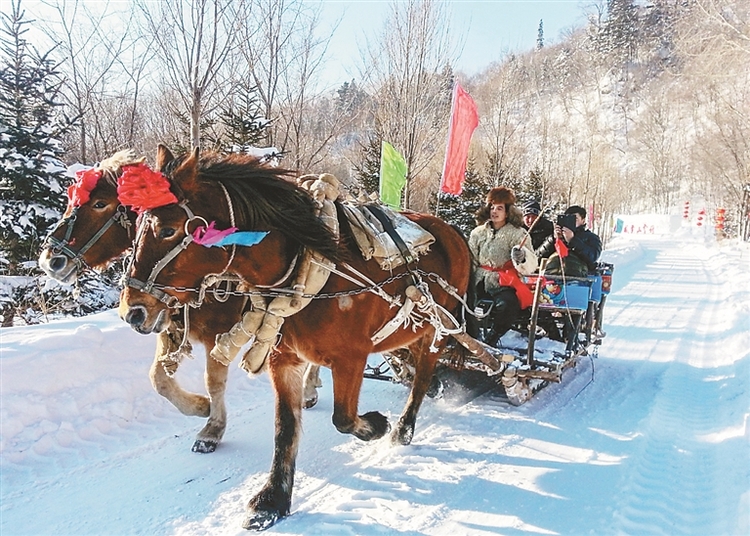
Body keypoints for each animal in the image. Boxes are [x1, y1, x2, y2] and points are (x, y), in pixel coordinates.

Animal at [38, 150, 245, 452]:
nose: (50, 260)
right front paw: (199, 406)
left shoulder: (217, 333)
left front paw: (212, 430)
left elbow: (214, 380)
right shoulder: (163, 323)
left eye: (99, 203)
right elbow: (157, 378)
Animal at [119, 147, 470, 532]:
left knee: (422, 375)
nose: (131, 311)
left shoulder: (351, 358)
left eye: (167, 229)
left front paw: (377, 425)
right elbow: (285, 429)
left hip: (437, 329)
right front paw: (273, 500)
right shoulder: (283, 358)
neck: (311, 268)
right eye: (136, 228)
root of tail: (454, 232)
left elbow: (343, 418)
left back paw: (404, 427)